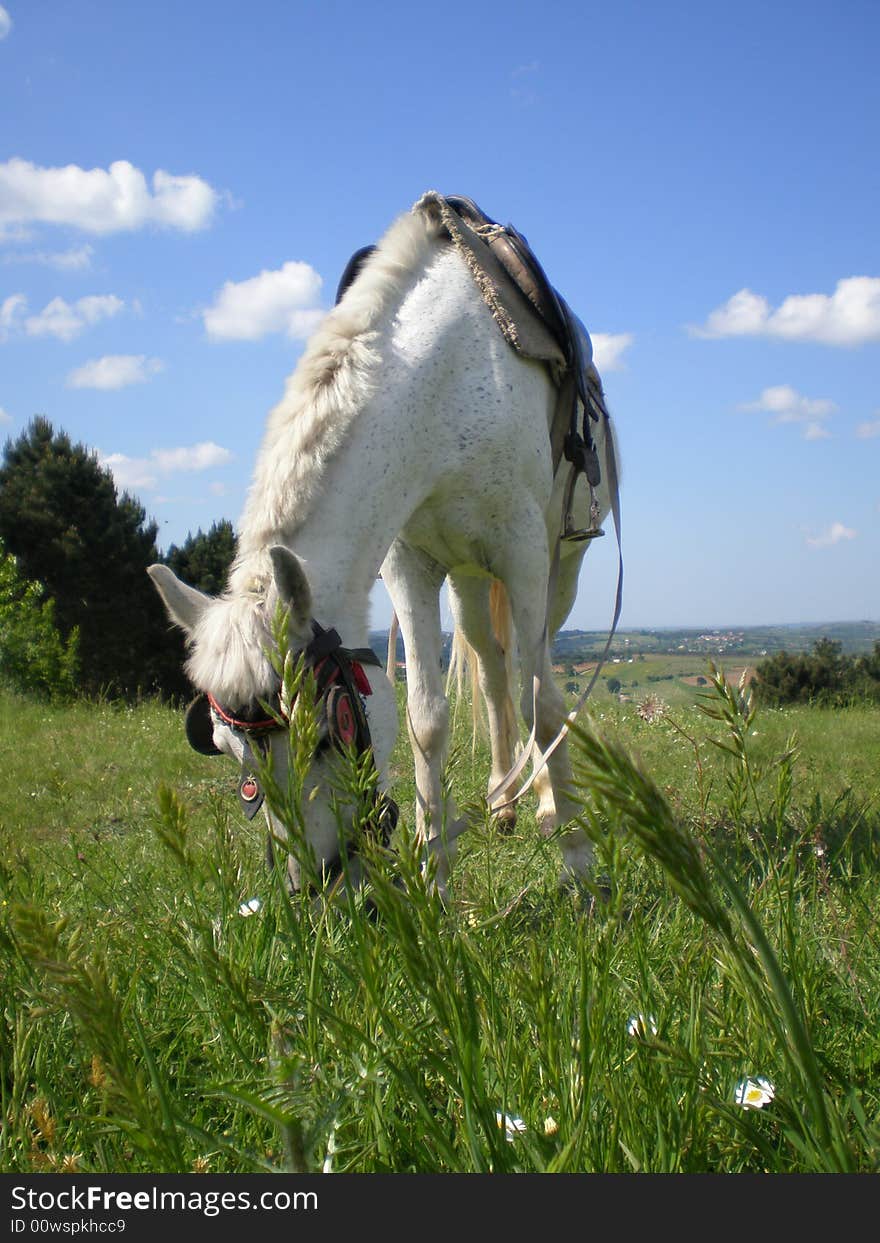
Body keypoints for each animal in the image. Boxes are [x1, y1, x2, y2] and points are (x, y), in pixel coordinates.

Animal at [149, 191, 618, 894]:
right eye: (229, 752)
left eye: (328, 733)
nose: (314, 882)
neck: (445, 373)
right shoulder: (410, 566)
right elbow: (427, 720)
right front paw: (434, 870)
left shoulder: (526, 556)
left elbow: (545, 701)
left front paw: (579, 864)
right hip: (469, 578)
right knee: (491, 671)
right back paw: (502, 802)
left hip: (562, 567)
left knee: (531, 674)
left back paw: (538, 803)